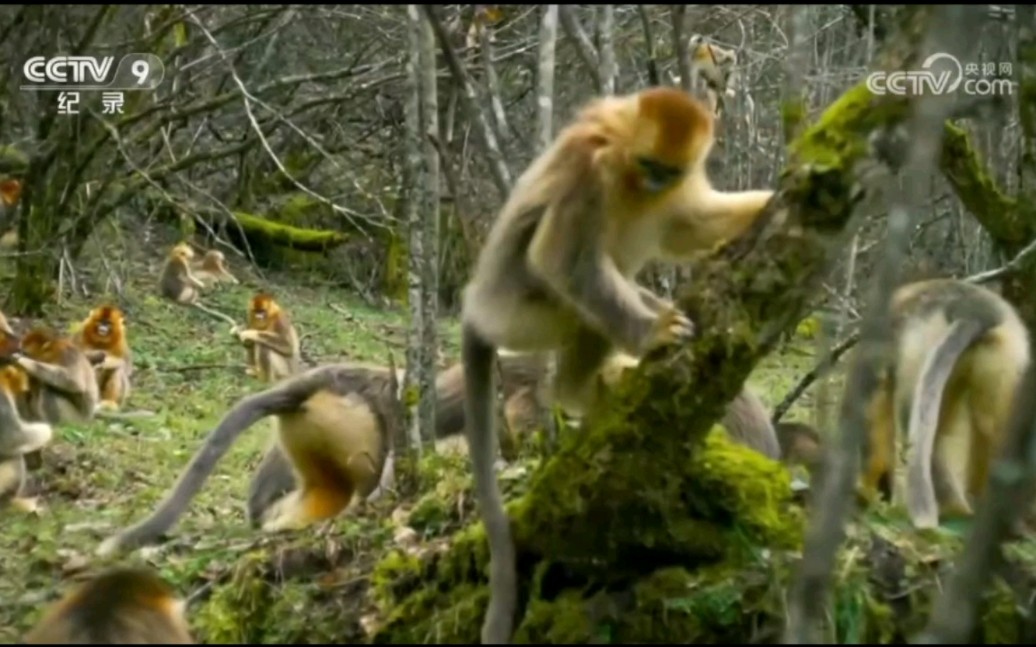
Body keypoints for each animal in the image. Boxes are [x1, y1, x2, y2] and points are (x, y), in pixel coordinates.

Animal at [459, 85, 770, 641]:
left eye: (669, 170)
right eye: (647, 164)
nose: (654, 182)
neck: (626, 163)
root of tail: (478, 305)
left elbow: (688, 224)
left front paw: (769, 203)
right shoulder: (591, 170)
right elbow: (562, 261)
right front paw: (654, 335)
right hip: (523, 313)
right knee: (581, 296)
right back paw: (582, 387)